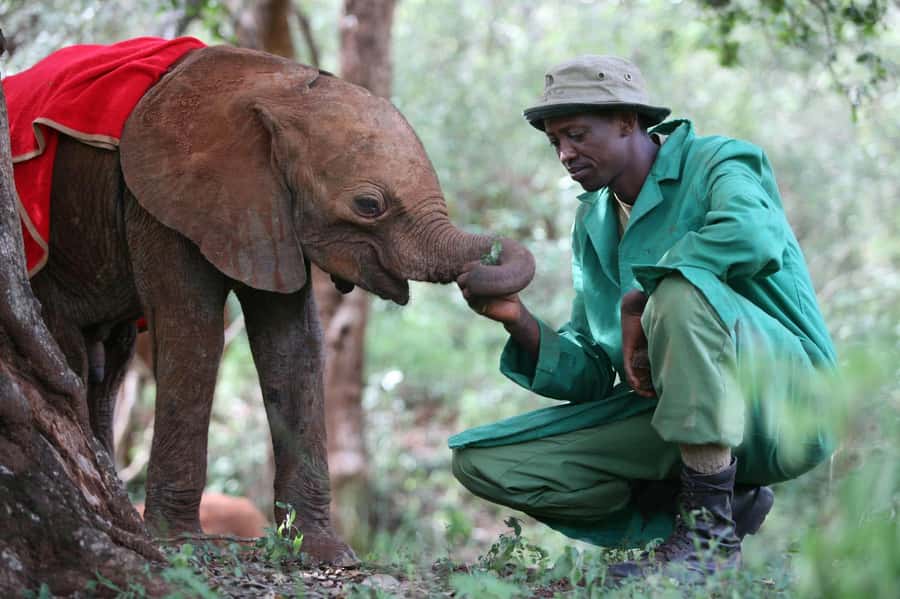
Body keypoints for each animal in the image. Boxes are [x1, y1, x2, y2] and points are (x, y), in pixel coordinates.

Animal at [26, 45, 535, 564]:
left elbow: (293, 344)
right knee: (69, 346)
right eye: (369, 205)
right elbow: (194, 331)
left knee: (111, 364)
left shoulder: (263, 209)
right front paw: (181, 545)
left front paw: (325, 552)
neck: (279, 87)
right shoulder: (157, 201)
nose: (481, 274)